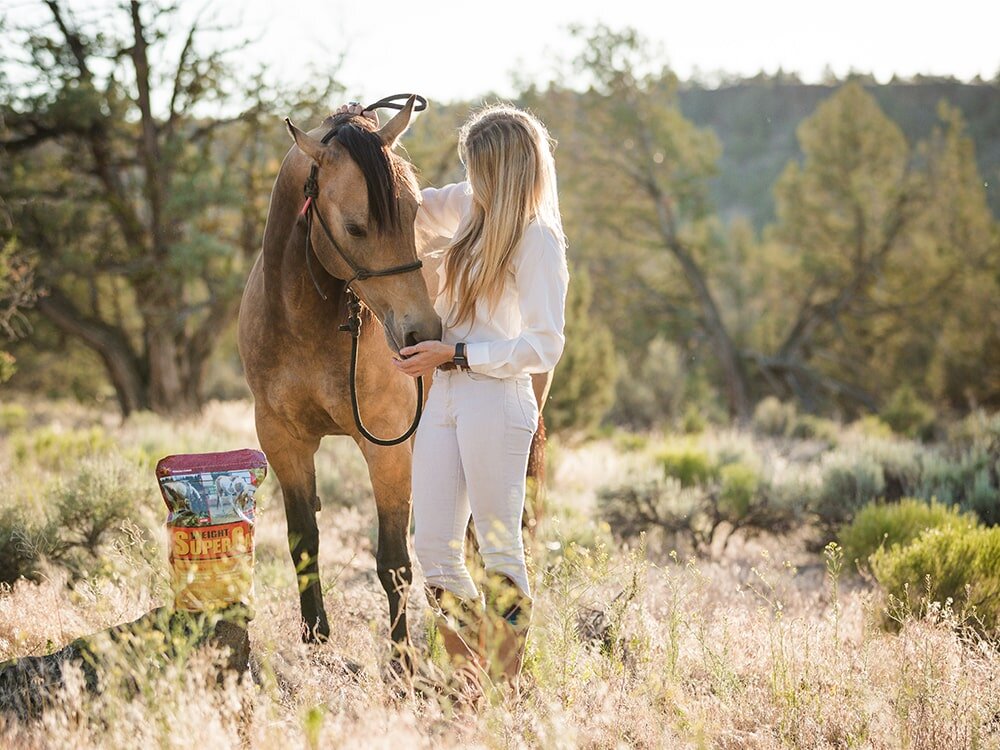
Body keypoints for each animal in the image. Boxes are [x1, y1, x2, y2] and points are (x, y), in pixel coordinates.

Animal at [237, 98, 442, 658]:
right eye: (355, 227)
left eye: (413, 213)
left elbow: (393, 563)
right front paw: (316, 640)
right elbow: (303, 542)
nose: (422, 333)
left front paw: (400, 663)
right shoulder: (283, 440)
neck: (304, 324)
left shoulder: (387, 445)